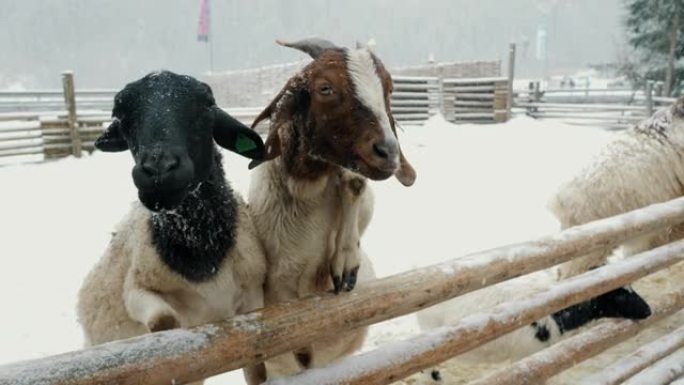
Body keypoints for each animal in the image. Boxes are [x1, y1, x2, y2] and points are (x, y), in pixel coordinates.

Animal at [75, 71, 268, 384]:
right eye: (122, 116)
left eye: (207, 104)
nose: (159, 172)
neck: (201, 254)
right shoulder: (136, 290)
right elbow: (164, 326)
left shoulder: (254, 299)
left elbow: (257, 367)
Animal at [246, 38, 416, 376]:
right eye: (325, 88)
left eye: (389, 87)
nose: (388, 152)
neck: (308, 187)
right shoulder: (281, 284)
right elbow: (300, 346)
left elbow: (355, 183)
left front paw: (345, 259)